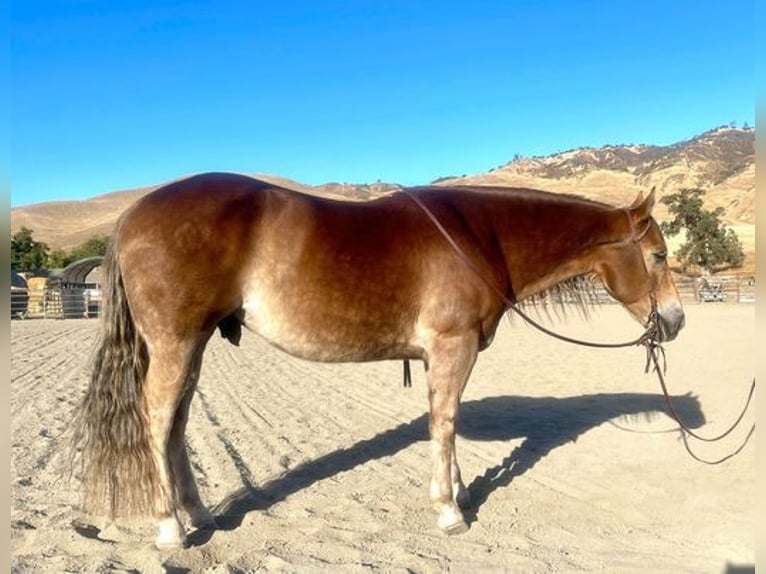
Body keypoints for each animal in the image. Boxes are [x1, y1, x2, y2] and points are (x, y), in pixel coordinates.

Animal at [70, 173, 684, 552]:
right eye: (658, 254)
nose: (675, 321)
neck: (479, 236)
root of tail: (133, 216)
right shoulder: (452, 347)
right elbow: (445, 423)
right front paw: (450, 511)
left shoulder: (447, 354)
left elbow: (446, 423)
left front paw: (459, 492)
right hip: (175, 343)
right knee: (157, 421)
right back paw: (170, 528)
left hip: (192, 345)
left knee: (176, 426)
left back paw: (198, 514)